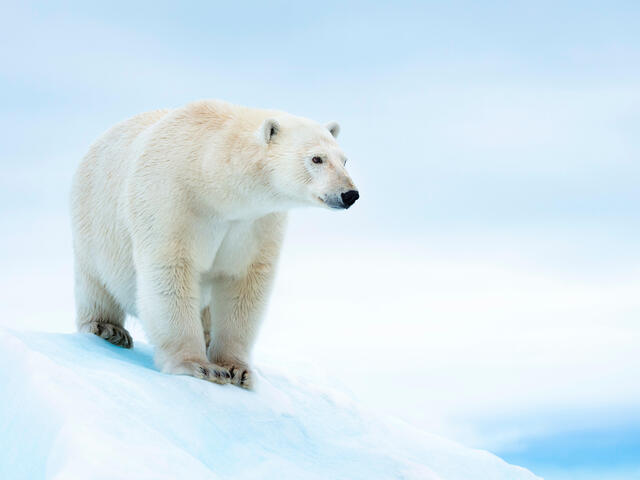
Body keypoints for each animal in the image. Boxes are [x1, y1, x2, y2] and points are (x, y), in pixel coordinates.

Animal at [72, 99, 360, 388]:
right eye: (316, 158)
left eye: (344, 160)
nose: (350, 194)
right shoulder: (170, 200)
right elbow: (170, 271)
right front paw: (198, 366)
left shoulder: (255, 222)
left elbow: (244, 283)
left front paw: (237, 370)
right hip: (94, 223)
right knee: (95, 283)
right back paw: (108, 328)